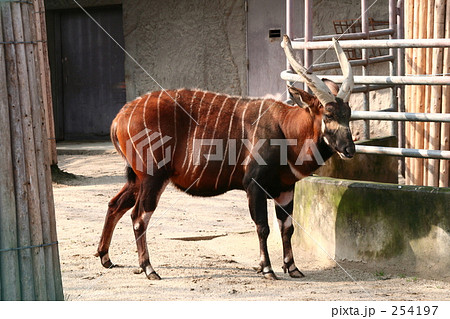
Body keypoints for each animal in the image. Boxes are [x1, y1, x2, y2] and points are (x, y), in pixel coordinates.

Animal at [97, 37, 356, 280]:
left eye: (349, 114)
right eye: (328, 114)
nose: (349, 149)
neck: (285, 128)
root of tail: (120, 117)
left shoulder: (285, 189)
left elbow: (287, 228)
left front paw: (292, 268)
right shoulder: (254, 185)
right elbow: (263, 227)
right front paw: (267, 269)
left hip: (137, 179)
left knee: (115, 204)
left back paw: (106, 257)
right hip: (152, 177)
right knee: (139, 216)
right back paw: (149, 269)